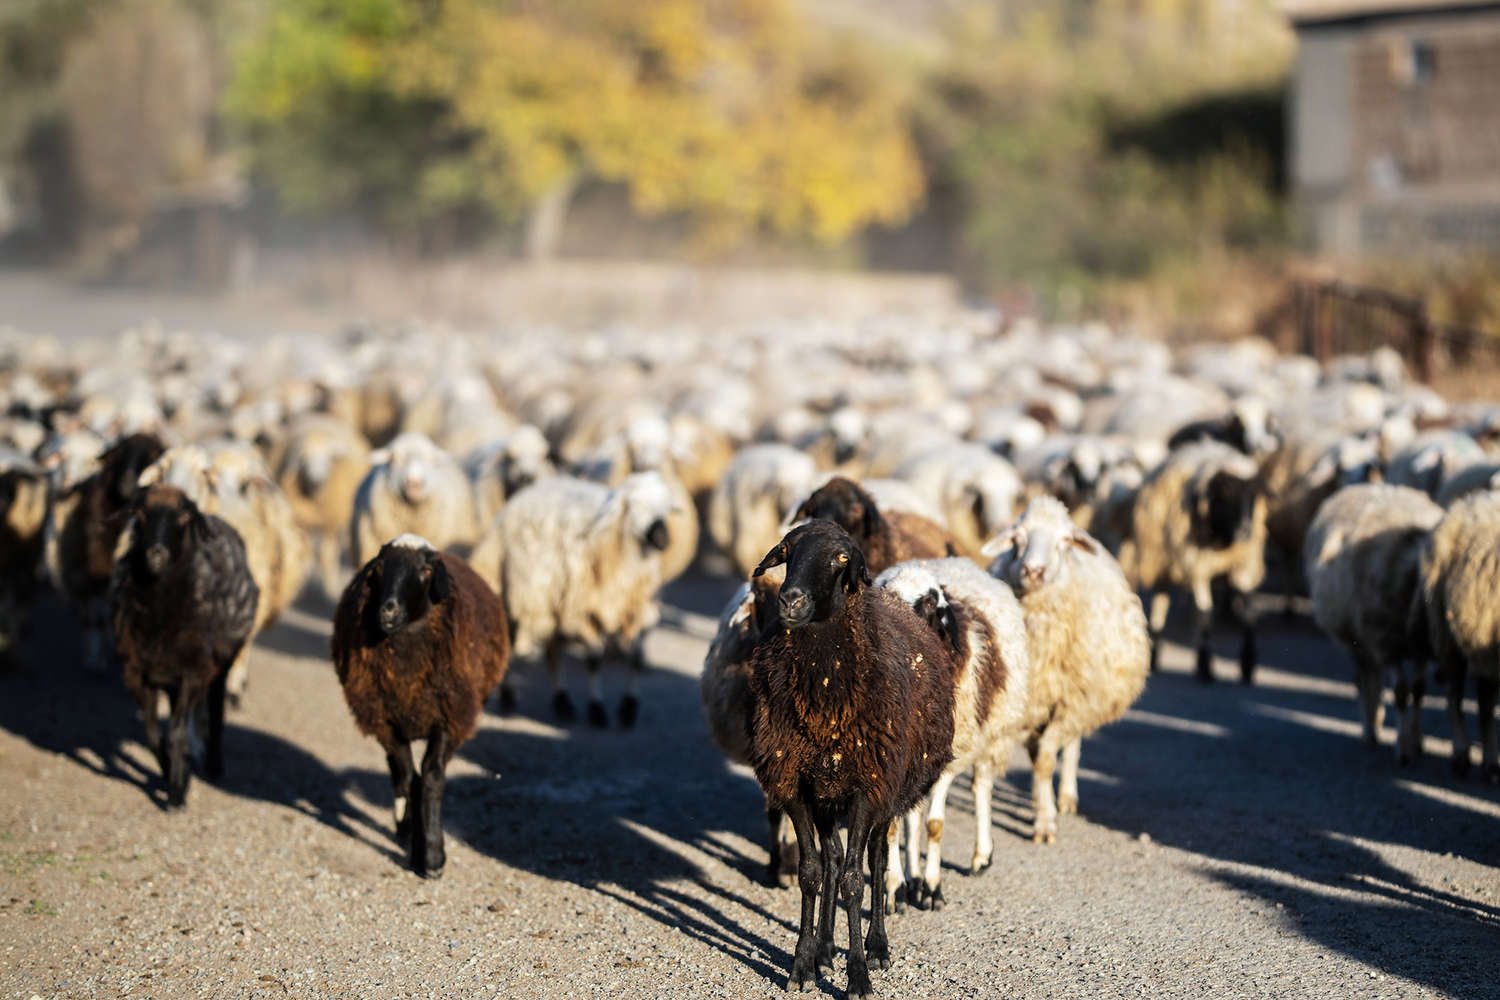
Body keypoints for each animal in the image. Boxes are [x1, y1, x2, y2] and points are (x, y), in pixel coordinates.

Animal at [333, 530, 510, 875]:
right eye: (379, 570)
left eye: (425, 571)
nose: (387, 610)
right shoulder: (385, 721)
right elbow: (408, 776)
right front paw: (418, 845)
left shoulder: (449, 716)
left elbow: (430, 777)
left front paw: (431, 856)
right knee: (398, 775)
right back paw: (403, 827)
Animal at [744, 521, 954, 995]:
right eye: (787, 550)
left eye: (842, 558)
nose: (791, 600)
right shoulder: (796, 784)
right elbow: (811, 871)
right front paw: (802, 966)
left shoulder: (866, 787)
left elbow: (856, 882)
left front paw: (858, 974)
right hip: (827, 791)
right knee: (834, 858)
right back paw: (824, 949)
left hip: (887, 789)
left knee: (875, 857)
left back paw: (877, 946)